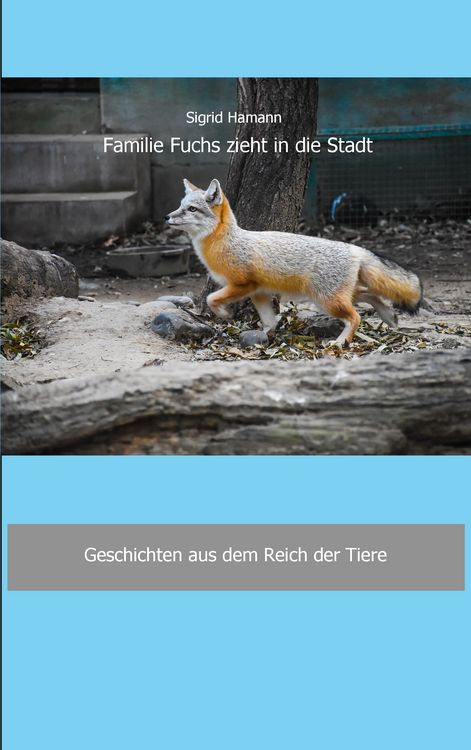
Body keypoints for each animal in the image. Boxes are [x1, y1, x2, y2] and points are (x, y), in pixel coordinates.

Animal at [165, 178, 423, 347]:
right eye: (180, 206)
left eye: (191, 209)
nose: (167, 217)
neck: (226, 242)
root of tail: (353, 247)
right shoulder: (259, 292)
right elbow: (269, 321)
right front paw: (265, 337)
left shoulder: (242, 285)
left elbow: (211, 298)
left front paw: (224, 315)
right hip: (331, 297)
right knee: (370, 295)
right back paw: (389, 316)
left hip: (327, 301)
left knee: (356, 316)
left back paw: (341, 342)